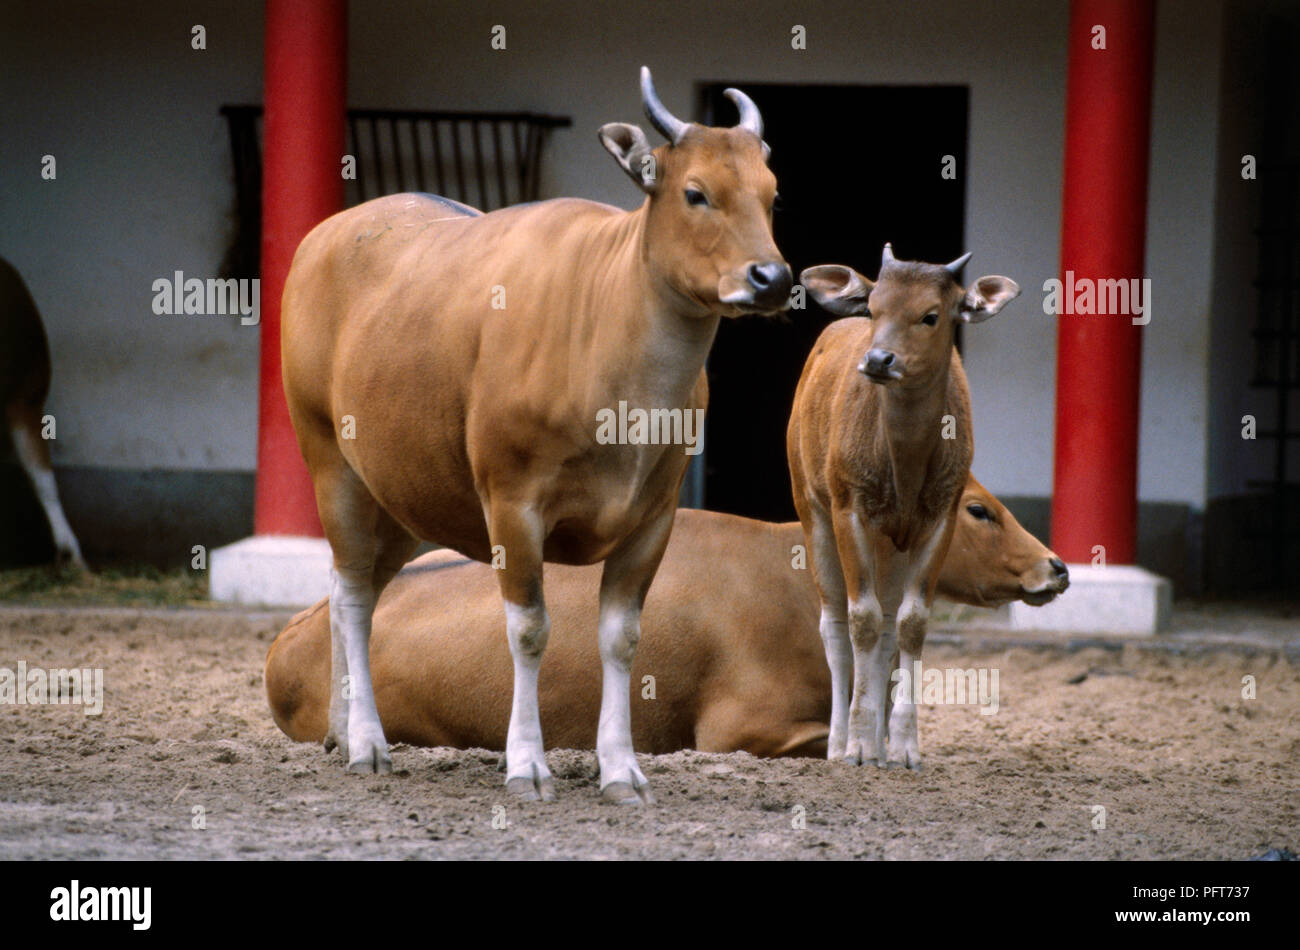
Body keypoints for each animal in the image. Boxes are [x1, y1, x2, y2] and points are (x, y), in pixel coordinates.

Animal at [279, 68, 790, 803]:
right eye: (696, 193)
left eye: (772, 195)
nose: (772, 279)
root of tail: (323, 237)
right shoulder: (513, 503)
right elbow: (528, 631)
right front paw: (526, 762)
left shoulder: (652, 519)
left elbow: (621, 639)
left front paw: (621, 769)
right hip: (332, 465)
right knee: (348, 595)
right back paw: (368, 743)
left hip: (405, 495)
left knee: (360, 594)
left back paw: (341, 731)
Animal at [788, 246, 1020, 770]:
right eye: (874, 308)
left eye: (930, 315)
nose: (878, 358)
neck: (905, 471)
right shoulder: (849, 507)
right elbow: (861, 619)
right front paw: (855, 744)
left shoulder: (940, 517)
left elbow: (911, 624)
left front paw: (905, 747)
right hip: (810, 502)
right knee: (834, 624)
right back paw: (839, 743)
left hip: (892, 540)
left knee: (889, 625)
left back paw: (879, 744)